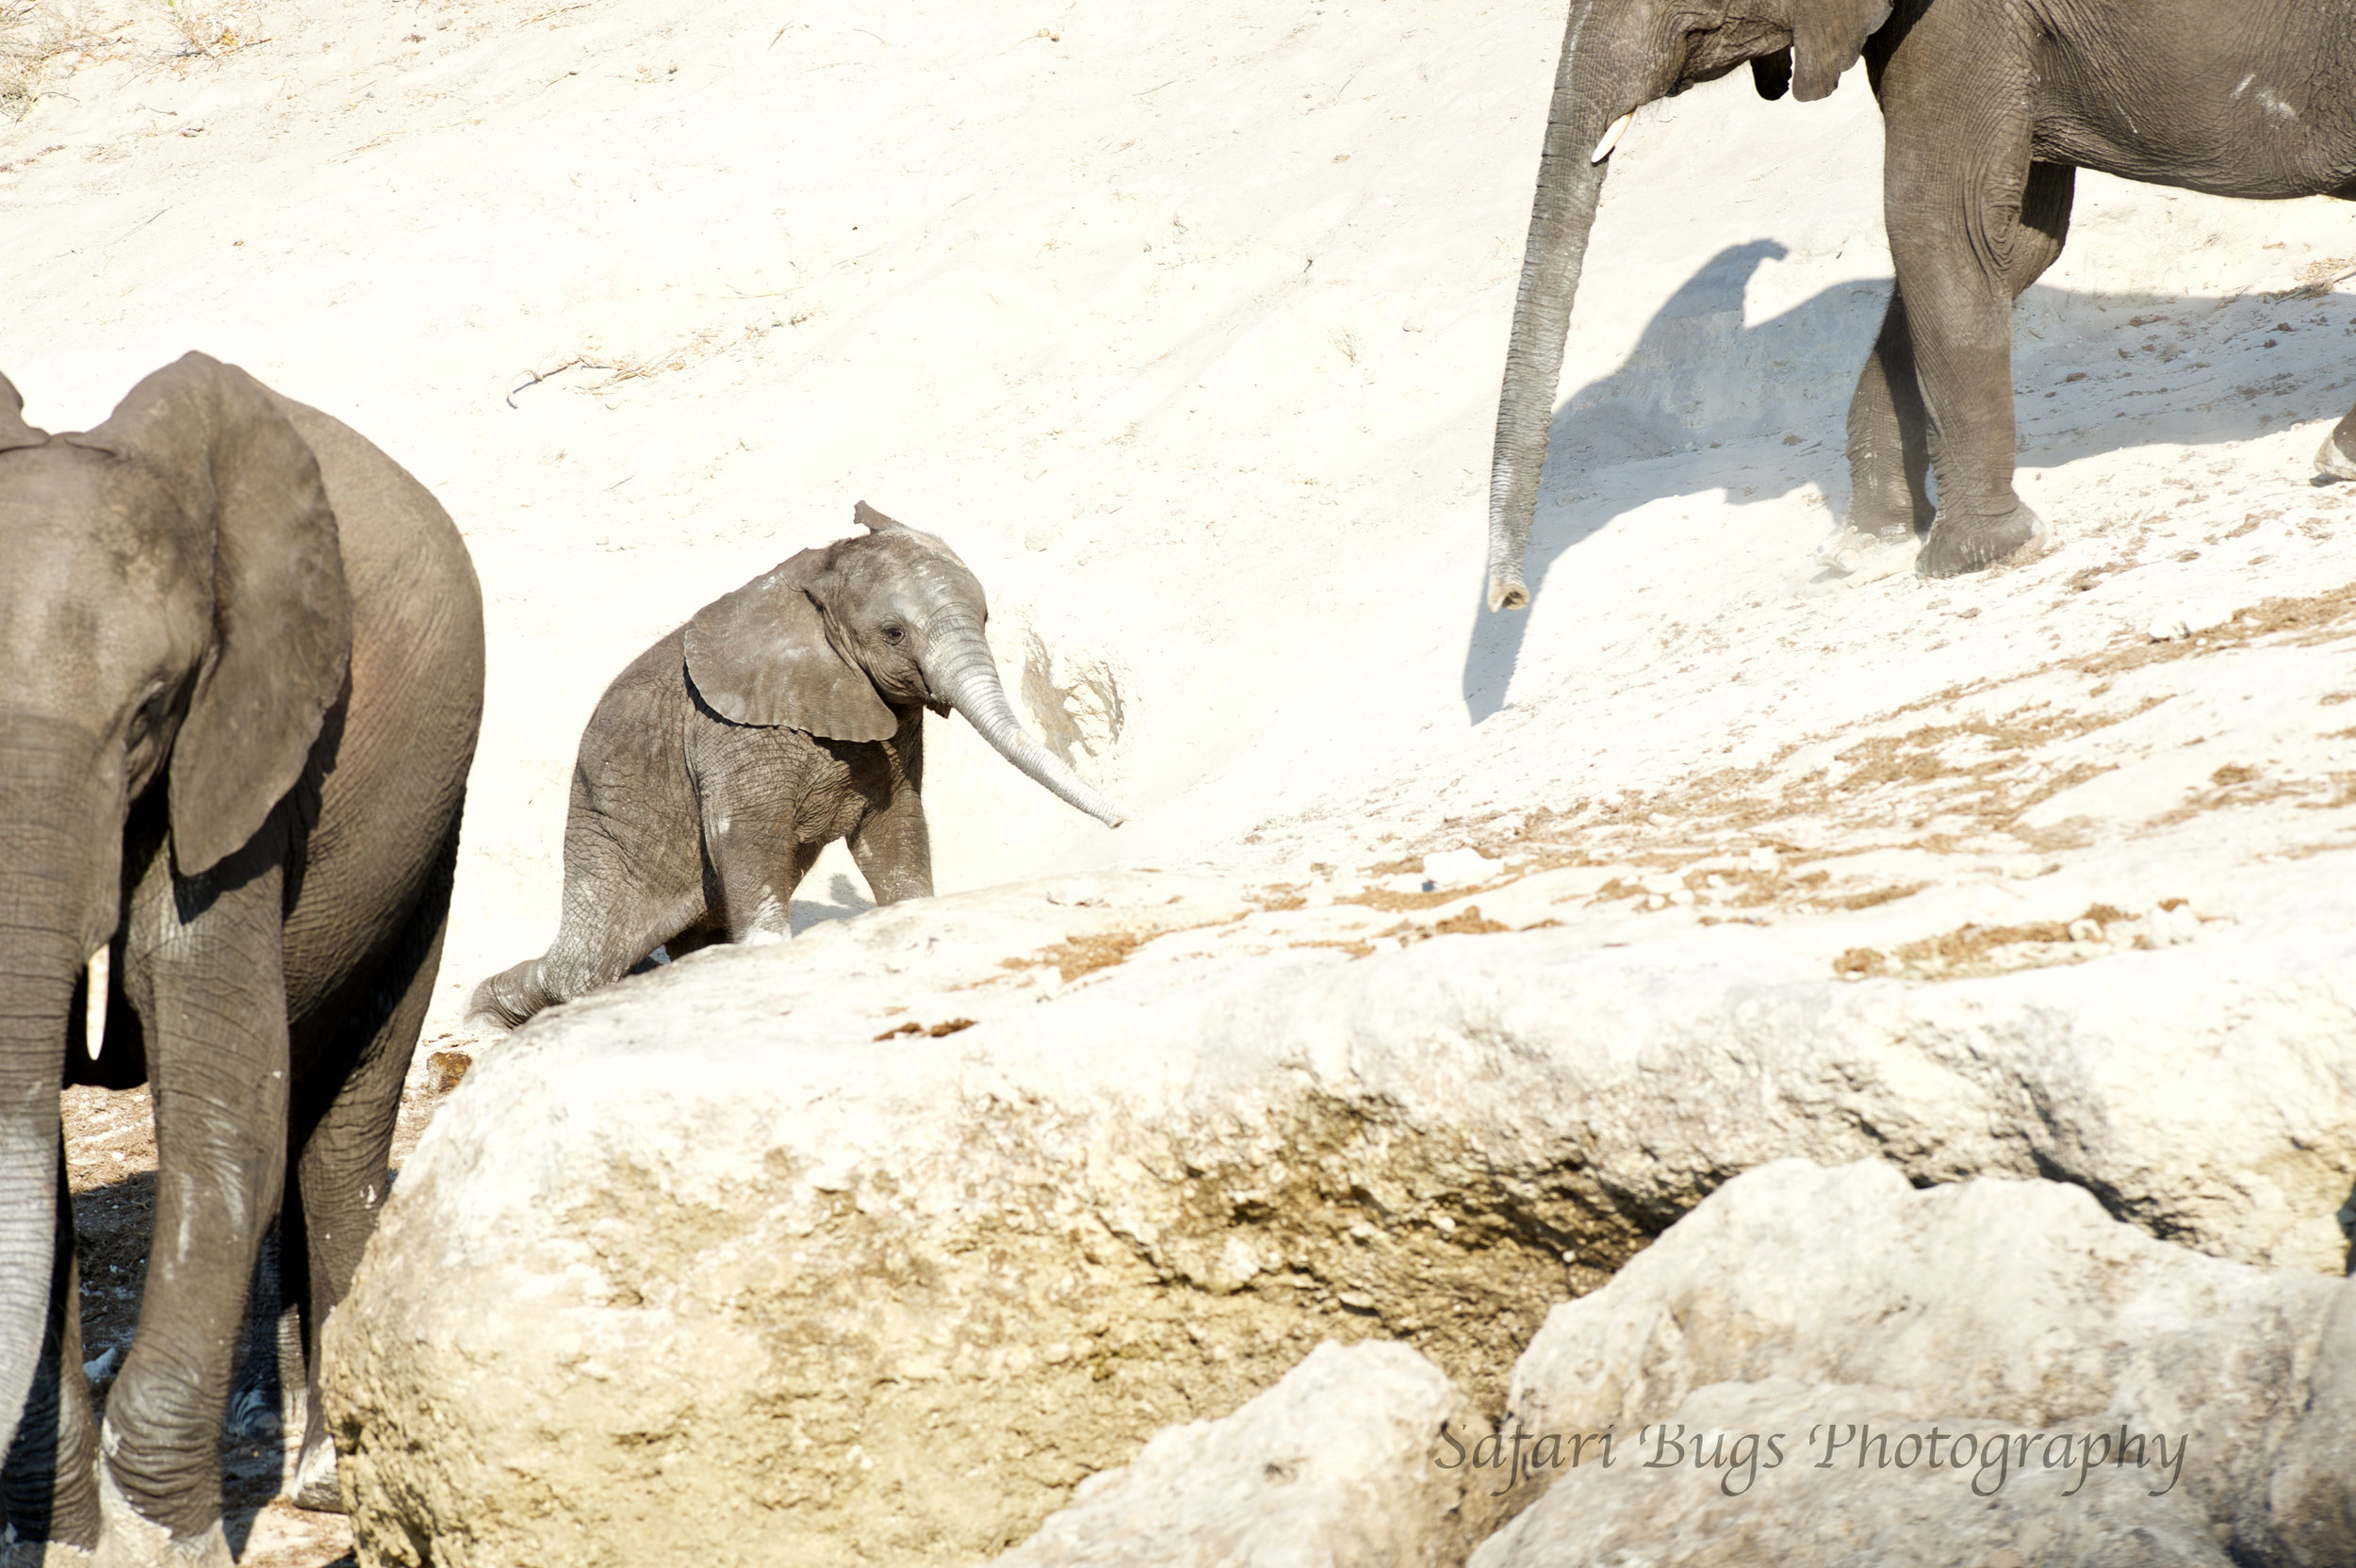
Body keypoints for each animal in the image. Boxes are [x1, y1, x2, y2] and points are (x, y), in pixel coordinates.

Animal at [0, 357, 481, 1563]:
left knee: (336, 1126)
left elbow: (225, 1114)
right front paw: (61, 1541)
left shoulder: (246, 759)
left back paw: (333, 1477)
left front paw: (163, 1540)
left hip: (428, 830)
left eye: (150, 711)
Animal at [1489, 0, 2356, 602]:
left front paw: (1971, 559)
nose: (1511, 598)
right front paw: (1860, 547)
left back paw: (2337, 454)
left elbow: (1937, 222)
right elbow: (2012, 244)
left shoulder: (1967, 20)